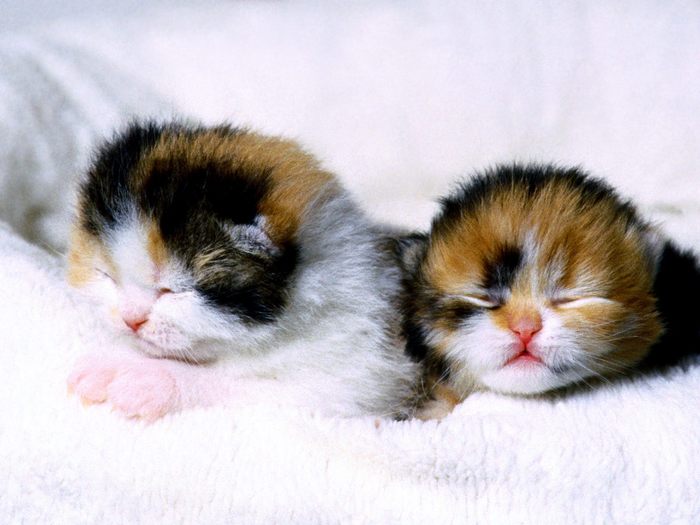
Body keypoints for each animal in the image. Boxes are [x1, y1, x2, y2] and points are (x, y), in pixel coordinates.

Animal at [65, 121, 416, 420]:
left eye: (175, 290)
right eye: (106, 276)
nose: (131, 320)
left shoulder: (349, 383)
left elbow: (232, 386)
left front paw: (143, 376)